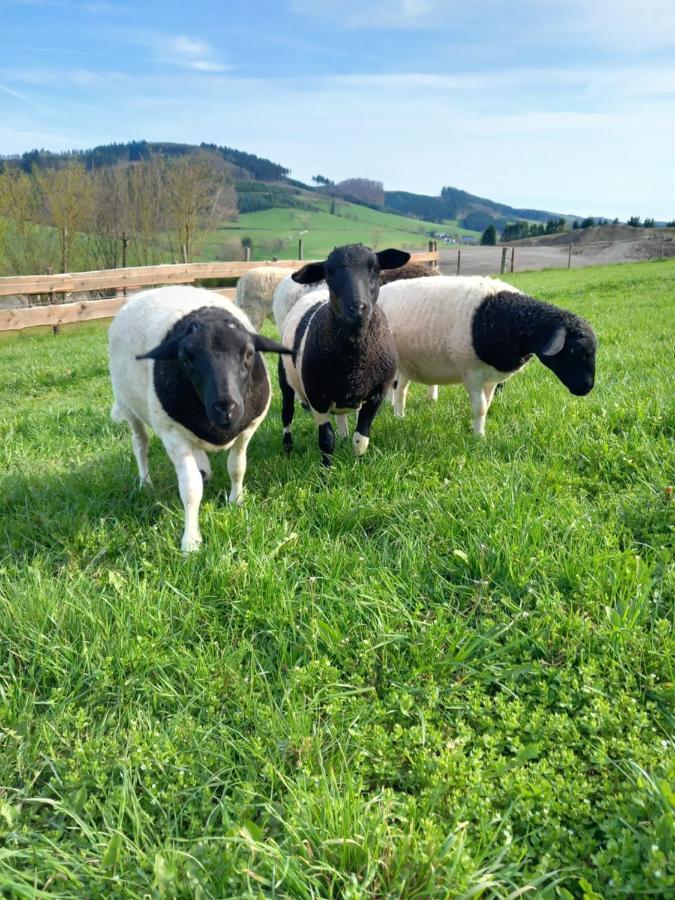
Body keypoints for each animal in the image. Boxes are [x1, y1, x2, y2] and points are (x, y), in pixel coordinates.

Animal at [108, 284, 290, 552]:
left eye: (248, 354)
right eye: (185, 359)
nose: (226, 407)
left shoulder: (247, 429)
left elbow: (237, 467)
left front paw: (237, 500)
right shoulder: (173, 435)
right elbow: (191, 488)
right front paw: (191, 541)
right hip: (128, 405)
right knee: (140, 443)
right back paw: (145, 482)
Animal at [278, 241, 410, 464]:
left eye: (375, 268)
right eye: (328, 274)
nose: (357, 308)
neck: (354, 361)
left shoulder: (377, 393)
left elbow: (361, 437)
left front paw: (359, 464)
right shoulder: (316, 396)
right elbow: (326, 438)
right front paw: (326, 469)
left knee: (341, 417)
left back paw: (343, 438)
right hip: (286, 379)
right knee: (287, 414)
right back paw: (287, 448)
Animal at [380, 274, 596, 436]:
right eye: (575, 350)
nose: (586, 388)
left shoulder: (492, 378)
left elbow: (488, 403)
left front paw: (479, 431)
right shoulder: (472, 374)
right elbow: (480, 407)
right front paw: (479, 438)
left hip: (407, 364)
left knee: (400, 389)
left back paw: (397, 413)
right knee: (399, 390)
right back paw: (398, 416)